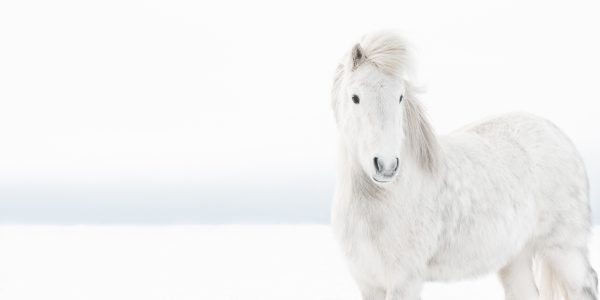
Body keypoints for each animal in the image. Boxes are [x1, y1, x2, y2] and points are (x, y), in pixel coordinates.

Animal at [330, 31, 596, 300]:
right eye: (355, 98)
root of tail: (558, 134)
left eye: (400, 97)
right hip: (516, 257)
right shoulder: (368, 283)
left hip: (564, 250)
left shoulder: (404, 282)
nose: (386, 166)